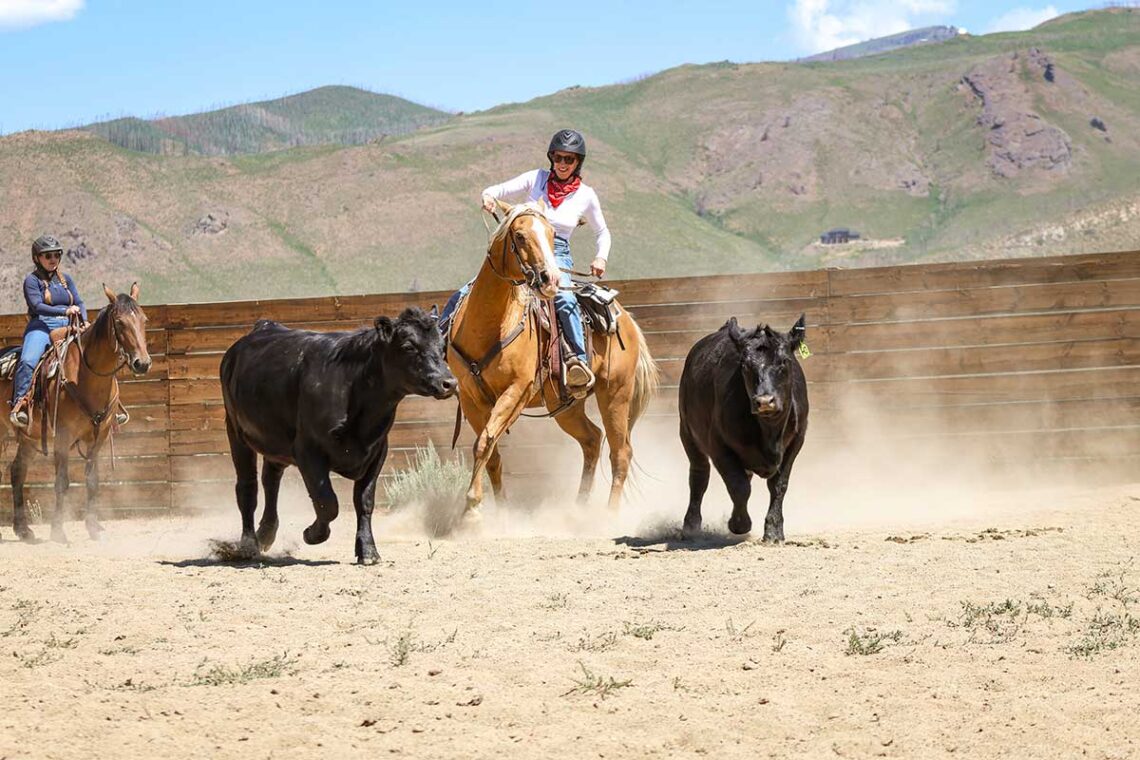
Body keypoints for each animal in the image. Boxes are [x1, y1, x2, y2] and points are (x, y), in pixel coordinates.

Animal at [0, 284, 152, 543]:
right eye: (120, 322)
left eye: (143, 320)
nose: (142, 363)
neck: (88, 376)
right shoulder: (63, 436)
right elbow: (62, 482)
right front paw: (58, 531)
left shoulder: (98, 437)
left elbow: (92, 480)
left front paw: (92, 527)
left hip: (30, 438)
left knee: (17, 471)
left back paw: (24, 530)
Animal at [219, 307, 457, 563]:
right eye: (408, 346)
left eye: (441, 346)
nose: (449, 383)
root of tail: (262, 327)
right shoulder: (308, 451)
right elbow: (327, 502)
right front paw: (312, 534)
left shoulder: (377, 452)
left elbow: (364, 501)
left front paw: (368, 551)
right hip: (236, 432)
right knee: (248, 488)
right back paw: (248, 545)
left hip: (275, 442)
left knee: (271, 481)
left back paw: (266, 533)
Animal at [447, 199, 659, 515]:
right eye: (520, 235)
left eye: (551, 234)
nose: (550, 279)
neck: (489, 325)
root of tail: (625, 319)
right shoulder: (471, 397)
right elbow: (490, 450)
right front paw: (500, 510)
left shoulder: (517, 391)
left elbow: (485, 441)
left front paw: (472, 508)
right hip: (566, 405)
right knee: (592, 440)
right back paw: (578, 508)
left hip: (615, 394)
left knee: (620, 452)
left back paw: (607, 515)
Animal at [677, 315, 809, 543]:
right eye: (745, 365)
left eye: (785, 361)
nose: (765, 401)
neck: (769, 431)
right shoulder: (718, 446)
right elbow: (739, 487)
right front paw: (739, 524)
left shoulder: (796, 443)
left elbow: (778, 485)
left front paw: (774, 532)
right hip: (687, 433)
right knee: (699, 476)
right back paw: (691, 527)